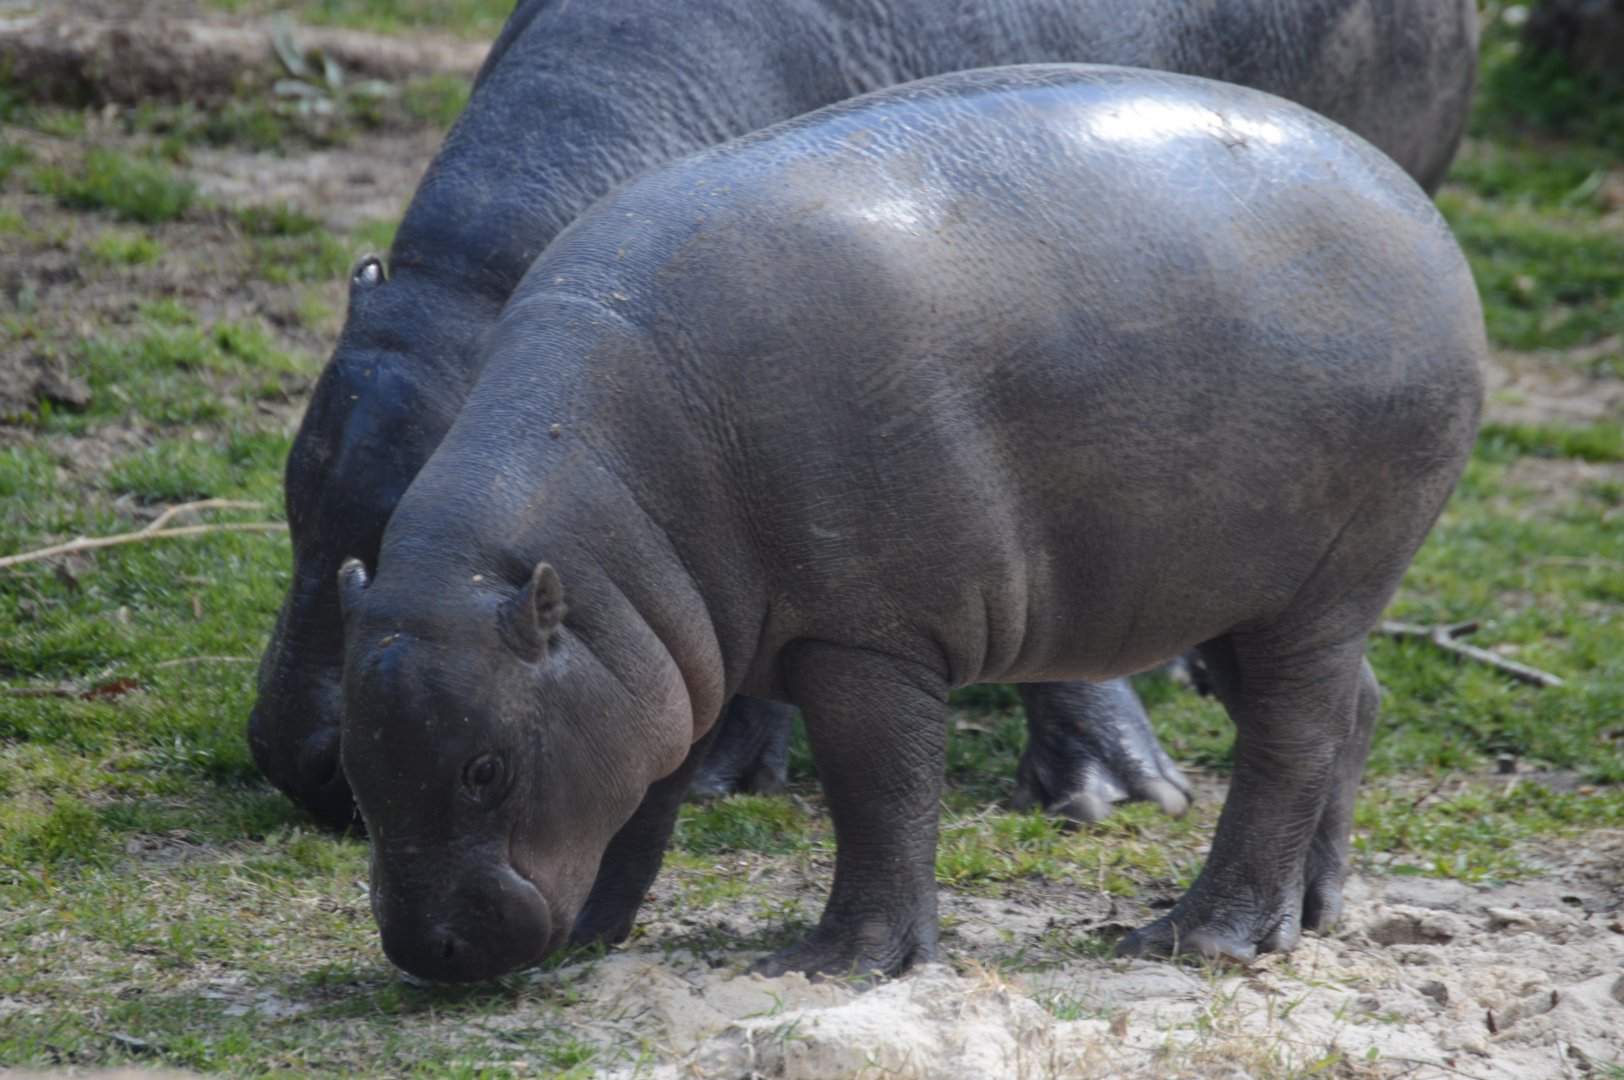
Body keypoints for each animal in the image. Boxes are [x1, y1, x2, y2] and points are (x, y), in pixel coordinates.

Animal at [335, 64, 1487, 981]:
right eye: (355, 760)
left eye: (485, 769)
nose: (425, 951)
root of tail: (1422, 212)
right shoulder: (657, 658)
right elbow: (641, 800)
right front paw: (592, 940)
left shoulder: (867, 638)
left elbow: (878, 797)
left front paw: (837, 963)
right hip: (1240, 588)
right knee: (1354, 708)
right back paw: (1312, 913)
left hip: (1328, 580)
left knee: (1290, 740)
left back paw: (1196, 938)